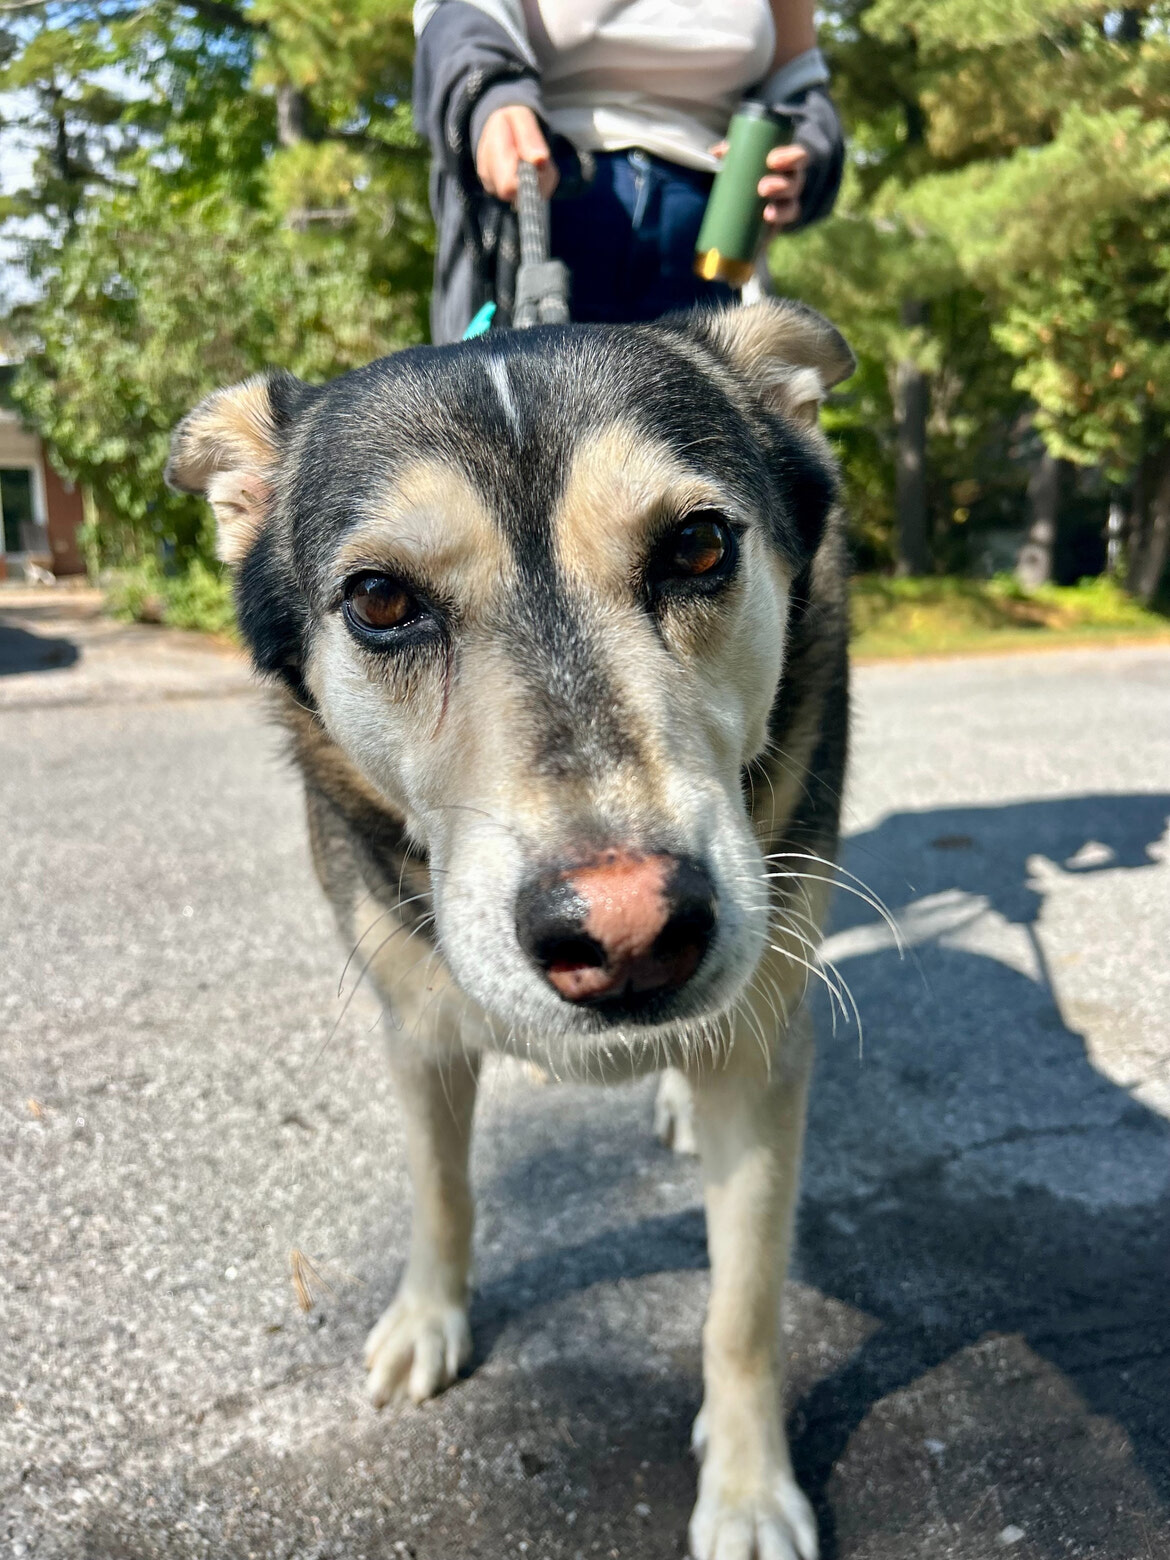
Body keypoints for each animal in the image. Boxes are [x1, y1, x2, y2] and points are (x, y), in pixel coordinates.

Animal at [167, 298, 854, 1560]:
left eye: (698, 546)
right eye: (381, 601)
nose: (629, 933)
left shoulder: (763, 1057)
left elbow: (743, 1305)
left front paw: (745, 1490)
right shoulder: (416, 1024)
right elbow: (443, 1188)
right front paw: (426, 1321)